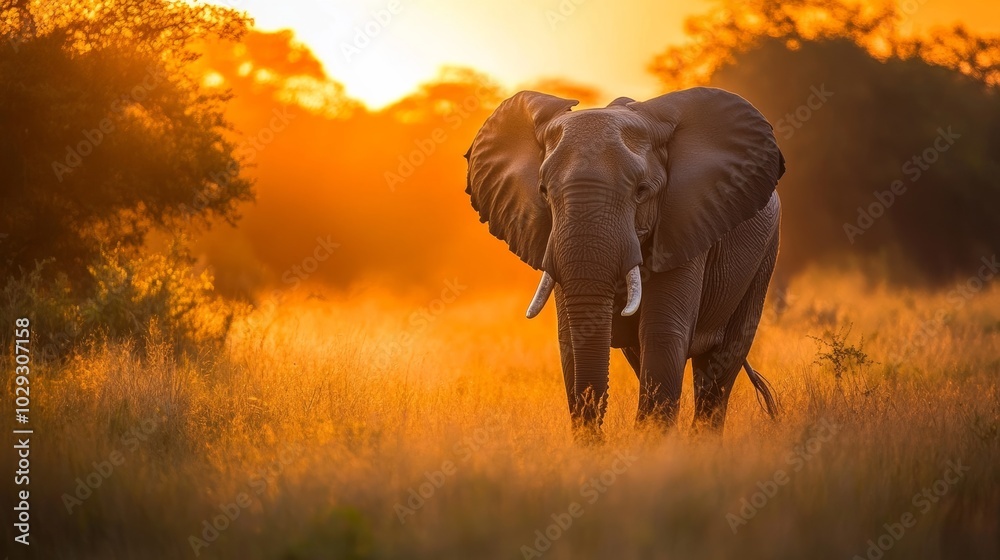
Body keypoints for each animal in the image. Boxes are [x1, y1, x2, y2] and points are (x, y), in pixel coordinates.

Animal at [464, 87, 784, 440]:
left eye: (641, 191)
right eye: (544, 192)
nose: (599, 437)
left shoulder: (685, 220)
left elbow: (662, 332)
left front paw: (650, 443)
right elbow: (571, 337)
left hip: (766, 252)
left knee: (723, 359)